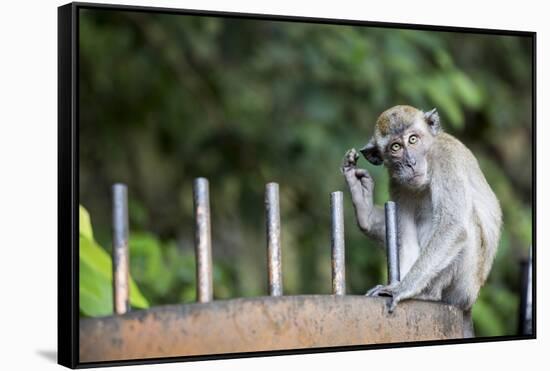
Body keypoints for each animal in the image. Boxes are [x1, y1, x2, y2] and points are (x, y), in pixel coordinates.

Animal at [344, 104, 504, 338]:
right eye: (395, 147)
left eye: (413, 139)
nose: (410, 163)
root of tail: (470, 302)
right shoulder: (396, 184)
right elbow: (407, 239)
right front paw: (362, 203)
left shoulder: (446, 160)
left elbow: (454, 227)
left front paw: (401, 288)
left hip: (465, 286)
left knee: (466, 226)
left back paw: (429, 294)